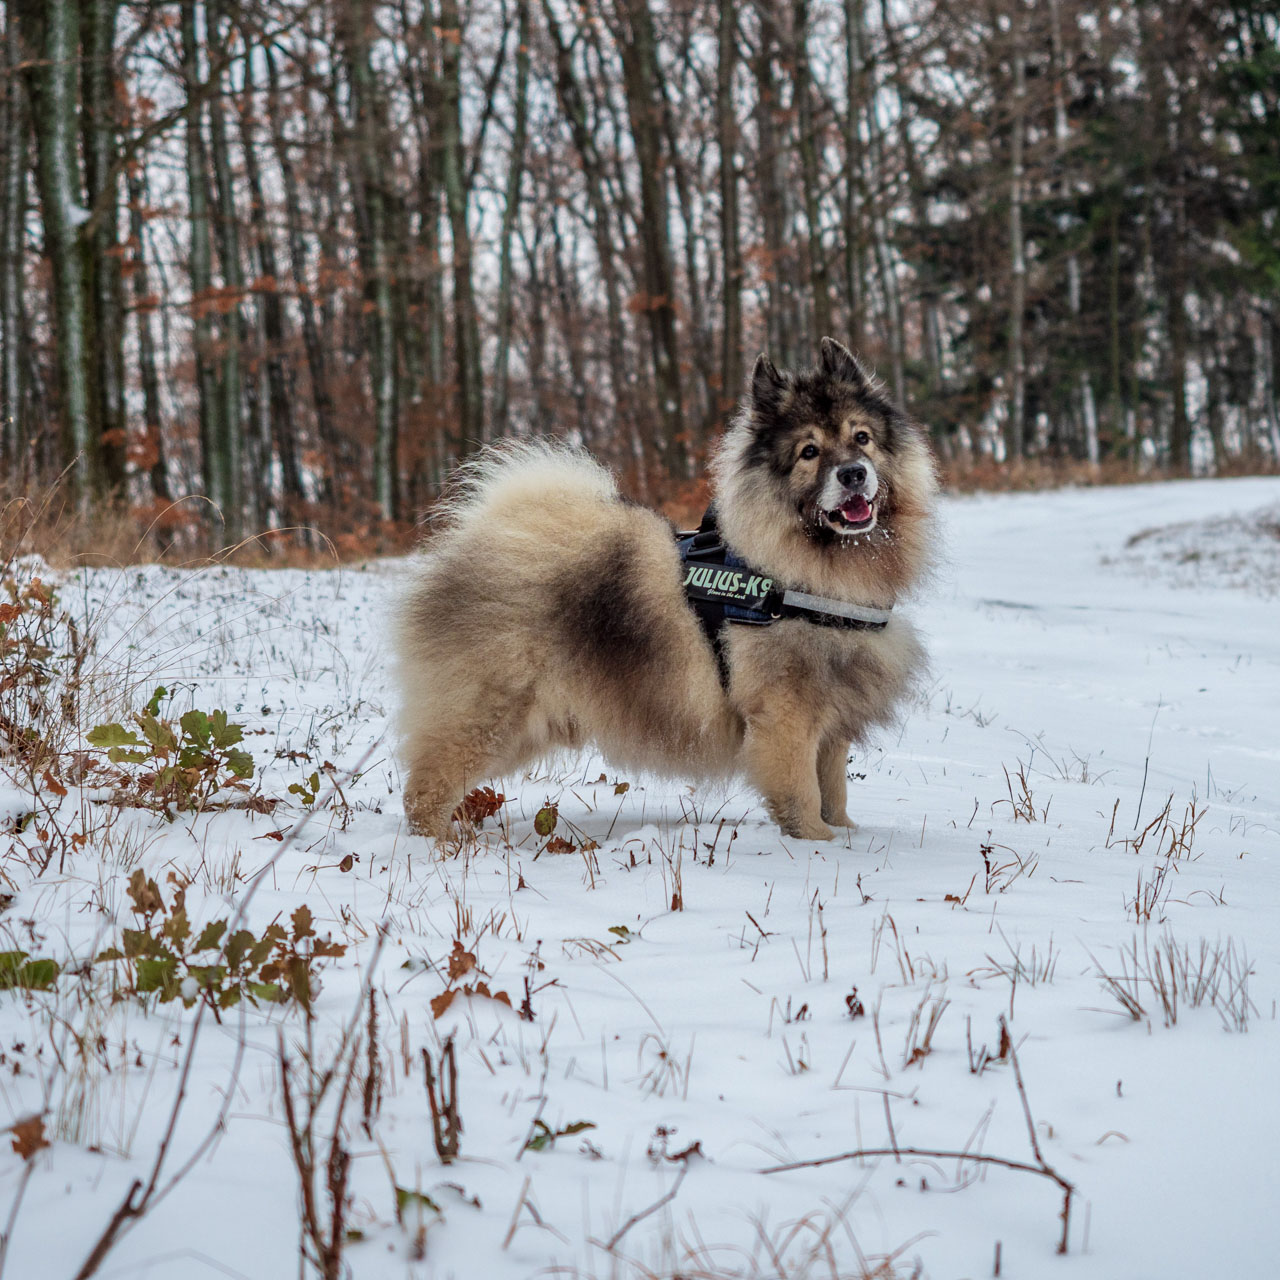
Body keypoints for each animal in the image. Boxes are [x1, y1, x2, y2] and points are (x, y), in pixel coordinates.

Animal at [394, 335, 936, 844]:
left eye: (862, 438)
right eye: (809, 452)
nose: (853, 474)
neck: (804, 573)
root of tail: (479, 537)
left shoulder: (830, 717)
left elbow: (833, 789)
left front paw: (844, 834)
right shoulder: (785, 718)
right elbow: (802, 793)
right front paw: (818, 845)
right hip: (490, 714)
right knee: (426, 790)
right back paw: (443, 847)